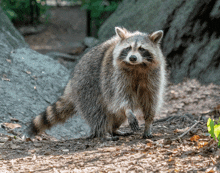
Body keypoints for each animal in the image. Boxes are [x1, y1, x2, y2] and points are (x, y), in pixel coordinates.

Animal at [24, 27, 166, 141]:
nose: (132, 58)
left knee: (117, 114)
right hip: (87, 87)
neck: (137, 66)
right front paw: (129, 111)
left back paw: (113, 129)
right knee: (98, 112)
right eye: (128, 48)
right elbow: (122, 97)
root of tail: (72, 82)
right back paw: (103, 132)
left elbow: (151, 100)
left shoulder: (153, 76)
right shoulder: (115, 76)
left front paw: (148, 123)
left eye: (142, 49)